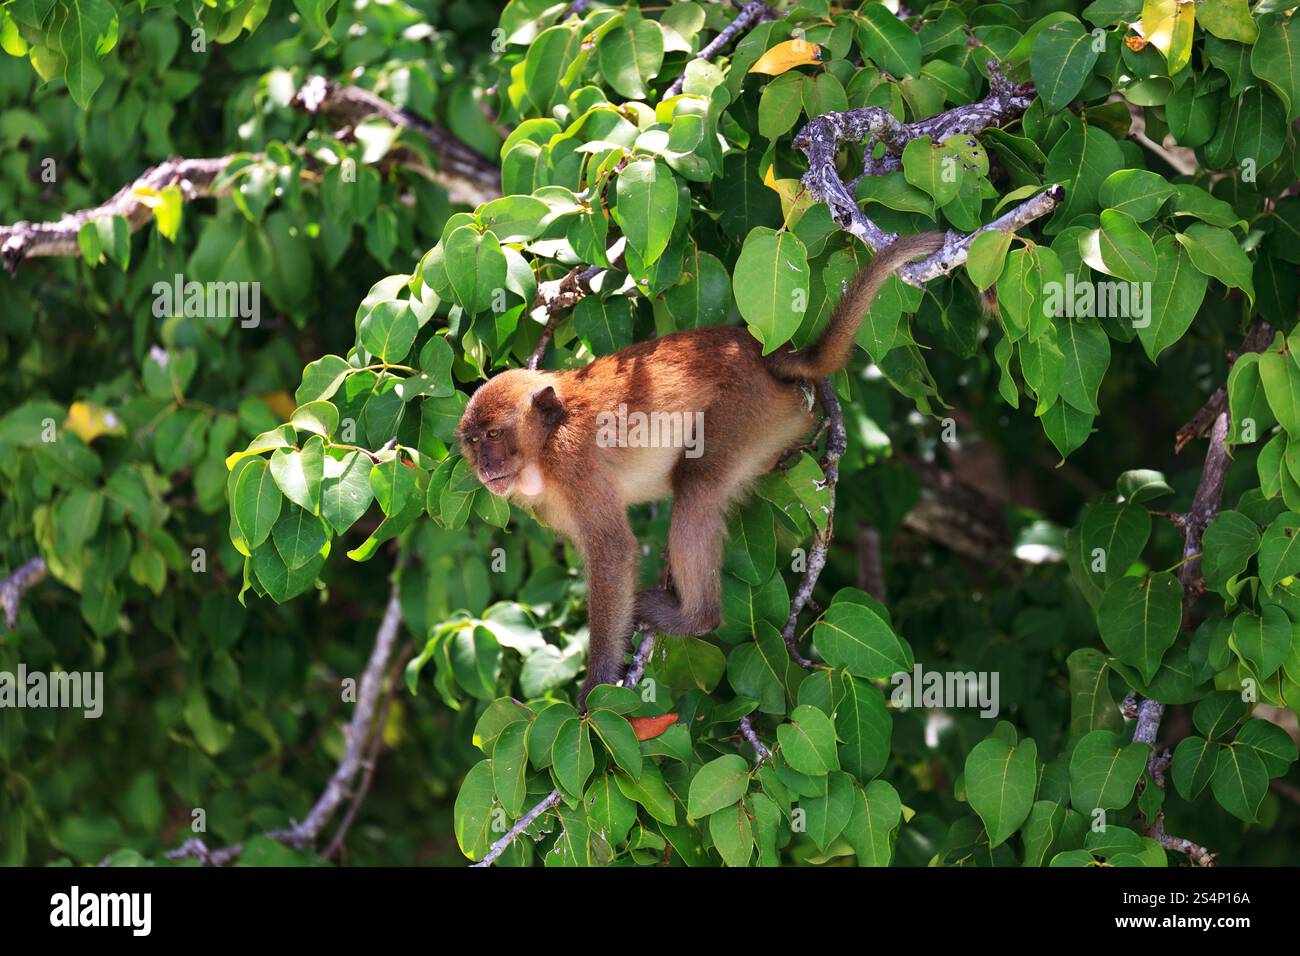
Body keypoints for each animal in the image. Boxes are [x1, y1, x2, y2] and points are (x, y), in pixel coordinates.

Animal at [458, 231, 945, 704]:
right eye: (474, 441)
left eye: (495, 435)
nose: (486, 465)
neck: (545, 443)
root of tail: (764, 356)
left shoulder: (571, 461)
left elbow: (613, 554)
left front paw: (594, 687)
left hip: (746, 409)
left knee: (695, 481)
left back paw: (697, 618)